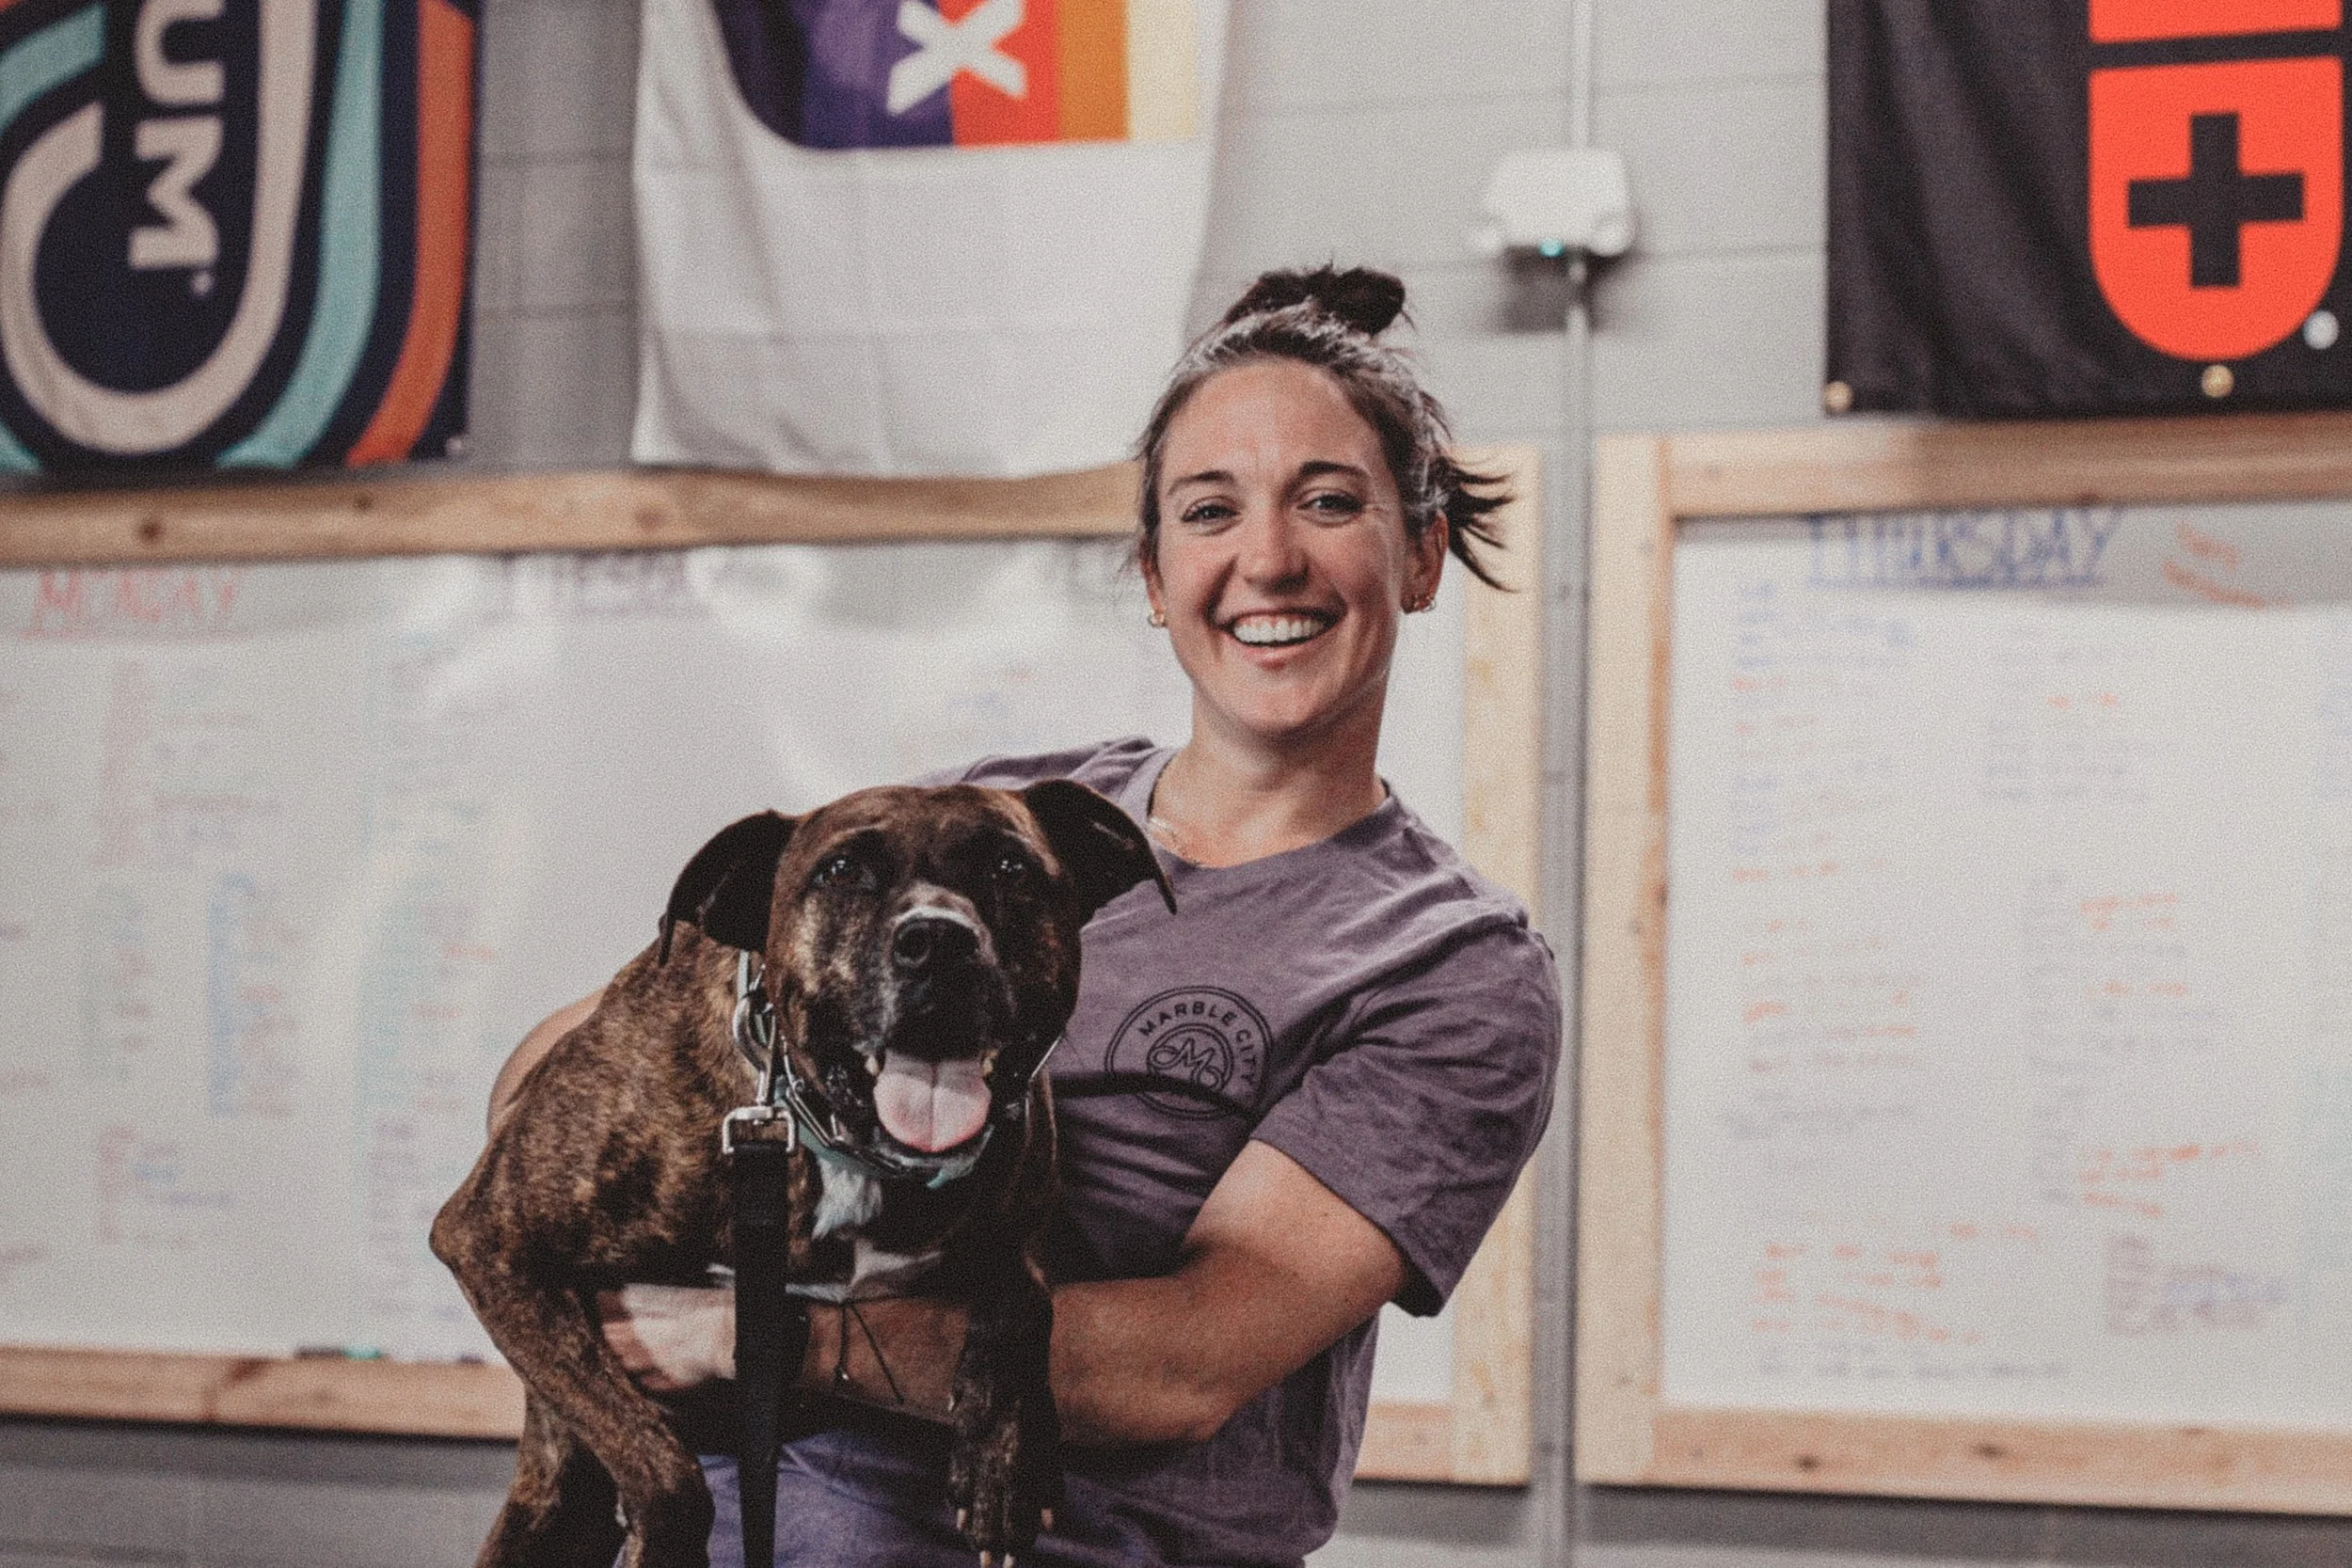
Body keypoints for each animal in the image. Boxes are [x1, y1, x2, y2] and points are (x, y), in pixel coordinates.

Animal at [432, 780, 1171, 1568]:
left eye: (1012, 867)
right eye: (841, 871)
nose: (938, 939)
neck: (850, 1148)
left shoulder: (1024, 1203)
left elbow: (1024, 1297)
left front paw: (1006, 1459)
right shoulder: (490, 1240)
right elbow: (662, 1466)